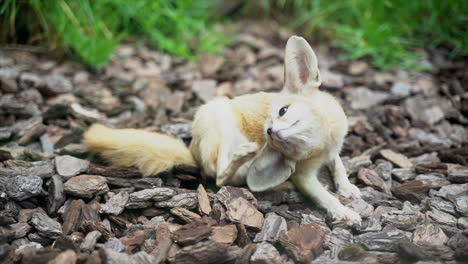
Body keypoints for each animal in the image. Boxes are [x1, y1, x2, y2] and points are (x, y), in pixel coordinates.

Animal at [84, 35, 362, 225]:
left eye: (283, 111)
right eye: (272, 136)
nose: (269, 132)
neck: (324, 143)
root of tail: (192, 151)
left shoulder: (334, 149)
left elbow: (338, 164)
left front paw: (346, 187)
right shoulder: (304, 176)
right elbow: (323, 195)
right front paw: (343, 211)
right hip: (221, 118)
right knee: (219, 176)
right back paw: (248, 160)